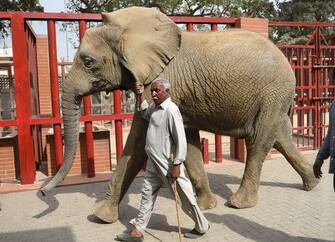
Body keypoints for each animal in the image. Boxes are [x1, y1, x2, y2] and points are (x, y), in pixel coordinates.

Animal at [41, 6, 320, 223]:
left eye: (88, 62)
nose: (43, 192)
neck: (128, 30)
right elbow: (189, 142)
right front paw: (206, 206)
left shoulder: (163, 81)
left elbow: (138, 140)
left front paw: (100, 216)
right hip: (275, 98)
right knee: (280, 137)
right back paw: (313, 183)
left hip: (272, 92)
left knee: (258, 140)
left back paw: (239, 203)